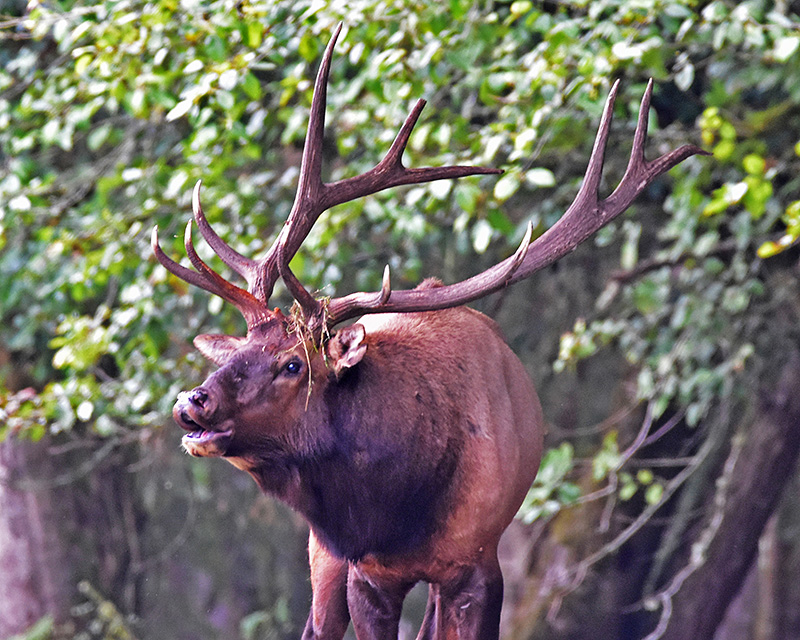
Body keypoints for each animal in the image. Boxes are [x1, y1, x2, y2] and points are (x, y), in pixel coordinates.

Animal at [151, 23, 705, 640]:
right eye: (241, 349)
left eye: (293, 364)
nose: (192, 401)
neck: (401, 506)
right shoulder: (366, 570)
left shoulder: (479, 562)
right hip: (322, 556)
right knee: (317, 626)